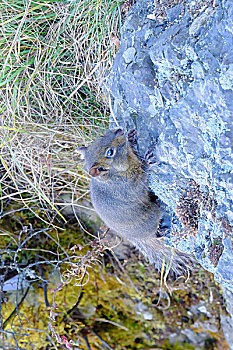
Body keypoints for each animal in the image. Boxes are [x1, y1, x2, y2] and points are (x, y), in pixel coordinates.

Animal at [77, 129, 192, 274]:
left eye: (102, 136)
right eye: (110, 152)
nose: (120, 130)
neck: (114, 175)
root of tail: (136, 238)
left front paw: (131, 138)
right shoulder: (130, 186)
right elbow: (143, 180)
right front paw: (147, 162)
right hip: (152, 216)